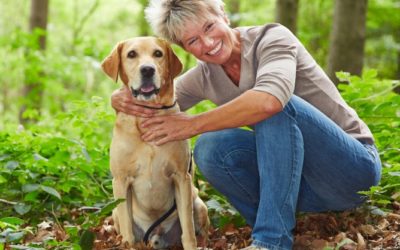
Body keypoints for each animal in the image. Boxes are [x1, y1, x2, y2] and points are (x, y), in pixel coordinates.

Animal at [101, 36, 209, 249]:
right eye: (131, 54)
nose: (147, 70)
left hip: (199, 204)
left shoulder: (181, 177)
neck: (148, 114)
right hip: (115, 211)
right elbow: (127, 232)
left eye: (158, 53)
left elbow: (188, 230)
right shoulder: (120, 180)